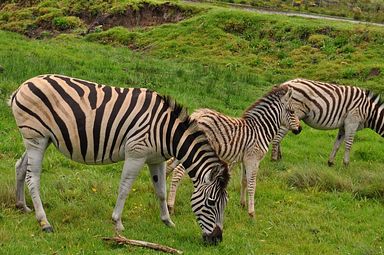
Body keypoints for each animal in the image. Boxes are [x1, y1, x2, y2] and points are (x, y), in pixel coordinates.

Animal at [9, 74, 230, 245]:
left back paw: (22, 206)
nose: (217, 240)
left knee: (20, 167)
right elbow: (125, 188)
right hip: (36, 137)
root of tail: (22, 85)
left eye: (226, 203)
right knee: (33, 178)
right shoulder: (136, 153)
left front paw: (168, 222)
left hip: (39, 138)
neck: (165, 131)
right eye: (211, 202)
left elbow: (161, 191)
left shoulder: (155, 159)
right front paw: (117, 223)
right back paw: (44, 222)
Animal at [166, 85, 302, 217]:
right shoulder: (253, 159)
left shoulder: (245, 159)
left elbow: (244, 181)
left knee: (168, 167)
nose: (300, 129)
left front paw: (243, 204)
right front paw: (252, 213)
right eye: (292, 112)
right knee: (177, 172)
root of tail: (196, 115)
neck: (261, 129)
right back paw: (171, 207)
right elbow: (252, 184)